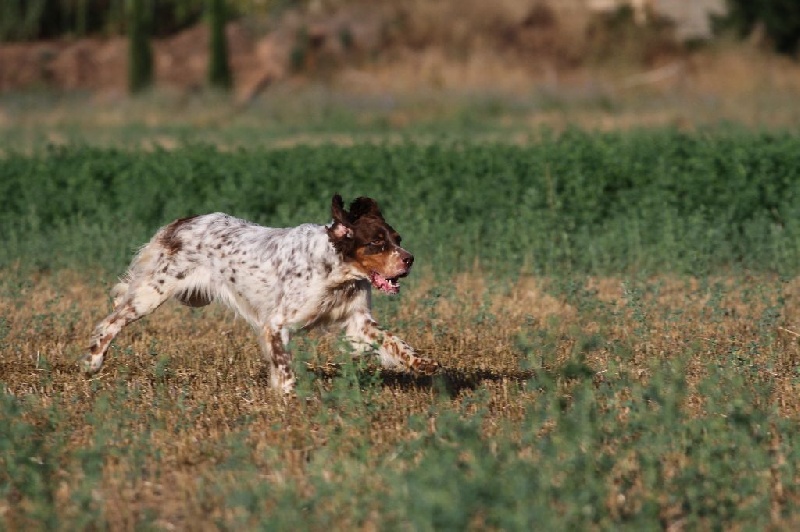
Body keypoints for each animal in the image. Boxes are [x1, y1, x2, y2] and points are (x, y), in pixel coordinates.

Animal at [81, 195, 440, 394]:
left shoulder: (357, 322)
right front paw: (290, 398)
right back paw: (92, 362)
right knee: (111, 321)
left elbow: (394, 342)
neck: (336, 271)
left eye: (397, 238)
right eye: (377, 243)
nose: (409, 259)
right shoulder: (276, 324)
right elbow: (284, 367)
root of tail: (179, 223)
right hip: (151, 293)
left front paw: (423, 363)